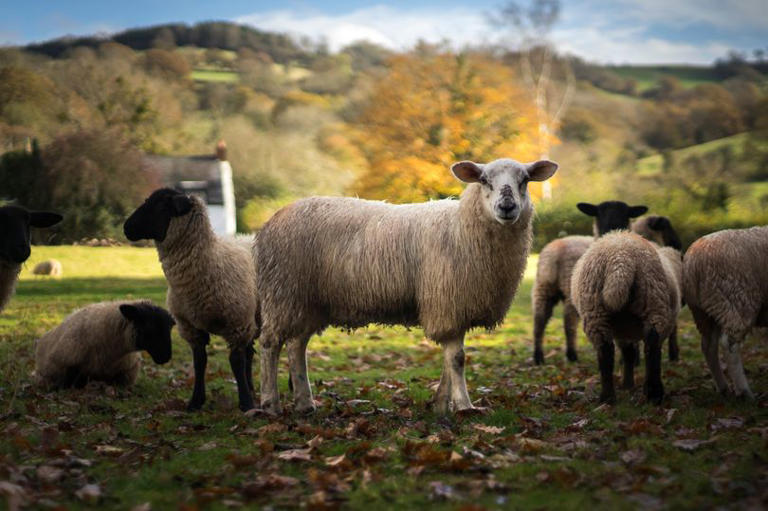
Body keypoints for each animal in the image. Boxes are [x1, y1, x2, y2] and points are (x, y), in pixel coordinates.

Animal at [123, 188, 259, 412]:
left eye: (160, 205)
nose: (126, 227)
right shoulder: (190, 326)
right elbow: (200, 362)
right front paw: (195, 402)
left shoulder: (236, 323)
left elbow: (235, 362)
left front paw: (246, 403)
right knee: (249, 354)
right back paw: (253, 389)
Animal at [254, 157, 558, 415]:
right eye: (484, 180)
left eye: (525, 180)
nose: (507, 207)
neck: (462, 226)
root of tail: (269, 224)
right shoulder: (446, 302)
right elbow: (457, 359)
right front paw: (464, 405)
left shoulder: (453, 306)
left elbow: (448, 360)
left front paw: (440, 404)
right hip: (282, 292)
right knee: (270, 344)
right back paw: (270, 404)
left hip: (306, 300)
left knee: (297, 345)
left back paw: (304, 403)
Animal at [532, 201, 648, 365]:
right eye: (599, 214)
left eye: (625, 214)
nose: (611, 230)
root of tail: (556, 253)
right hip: (571, 290)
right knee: (569, 323)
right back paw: (572, 354)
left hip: (544, 288)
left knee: (539, 322)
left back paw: (538, 357)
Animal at [570, 232, 682, 404]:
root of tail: (621, 259)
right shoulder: (627, 331)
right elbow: (630, 353)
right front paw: (628, 384)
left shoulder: (624, 331)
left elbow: (628, 353)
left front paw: (627, 384)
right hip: (654, 304)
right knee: (652, 347)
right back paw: (653, 393)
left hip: (595, 313)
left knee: (605, 352)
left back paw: (608, 397)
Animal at [683, 226, 768, 399]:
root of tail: (692, 263)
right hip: (737, 303)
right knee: (729, 346)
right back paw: (745, 392)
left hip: (708, 312)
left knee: (708, 346)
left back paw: (723, 387)